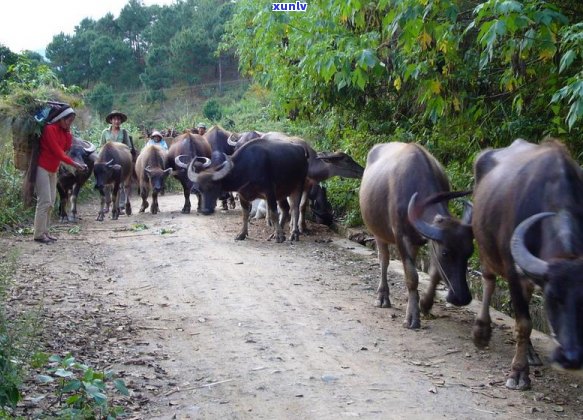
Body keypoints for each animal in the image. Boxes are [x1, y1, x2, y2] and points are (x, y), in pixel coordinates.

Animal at [360, 143, 474, 330]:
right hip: (378, 232)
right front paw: (412, 316)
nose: (462, 298)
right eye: (445, 253)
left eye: (469, 253)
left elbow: (435, 273)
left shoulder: (430, 239)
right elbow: (412, 276)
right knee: (384, 260)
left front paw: (425, 304)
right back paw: (382, 297)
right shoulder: (400, 236)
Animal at [474, 139, 583, 390]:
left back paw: (532, 353)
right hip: (485, 246)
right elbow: (523, 323)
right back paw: (482, 331)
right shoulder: (513, 272)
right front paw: (518, 373)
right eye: (553, 299)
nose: (572, 358)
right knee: (488, 281)